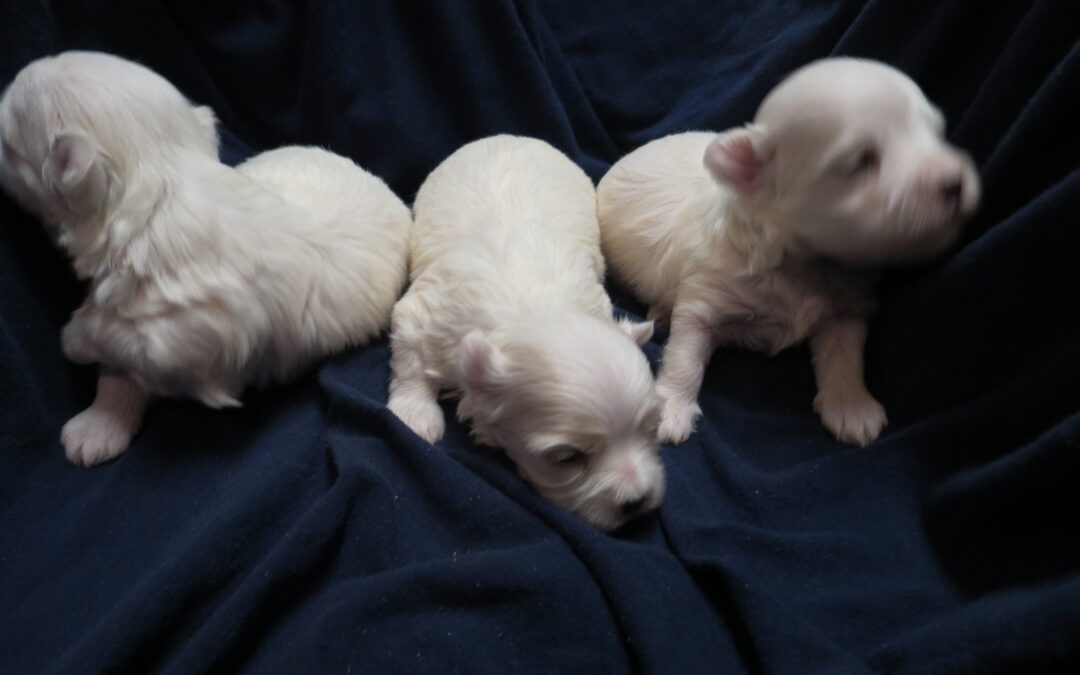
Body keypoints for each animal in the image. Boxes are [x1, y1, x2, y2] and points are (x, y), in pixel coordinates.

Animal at [0, 52, 410, 466]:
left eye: (7, 138)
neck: (163, 184)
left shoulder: (197, 338)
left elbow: (131, 348)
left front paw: (78, 339)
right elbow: (121, 367)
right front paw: (100, 420)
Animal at [384, 134, 660, 529]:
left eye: (653, 430)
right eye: (566, 459)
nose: (636, 502)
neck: (535, 310)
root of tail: (510, 135)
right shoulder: (426, 315)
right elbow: (409, 358)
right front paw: (414, 415)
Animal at [596, 59, 984, 447]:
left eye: (936, 133)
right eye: (860, 161)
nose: (955, 182)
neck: (805, 260)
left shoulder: (846, 309)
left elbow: (845, 355)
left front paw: (851, 406)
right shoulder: (704, 295)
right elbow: (684, 355)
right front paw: (670, 409)